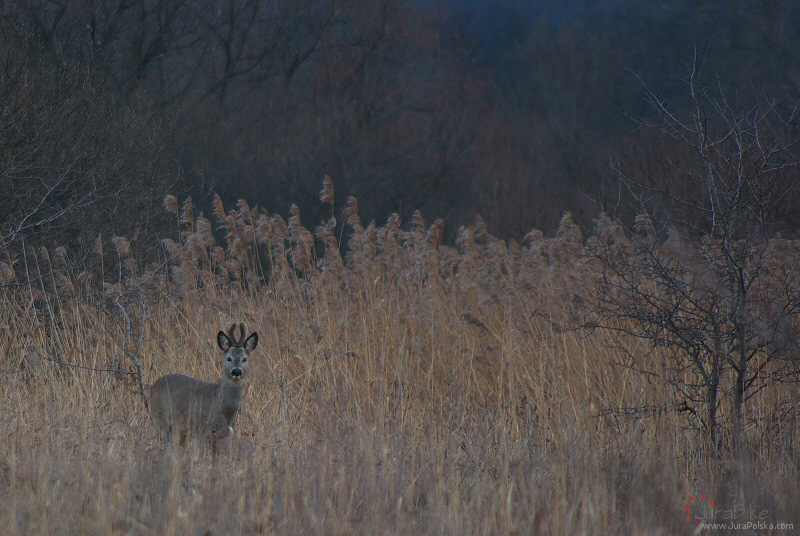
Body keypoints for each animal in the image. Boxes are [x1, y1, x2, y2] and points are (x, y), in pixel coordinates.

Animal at [150, 322, 260, 452]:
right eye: (229, 358)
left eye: (244, 359)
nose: (236, 371)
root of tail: (153, 386)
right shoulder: (202, 429)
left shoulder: (219, 435)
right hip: (159, 420)